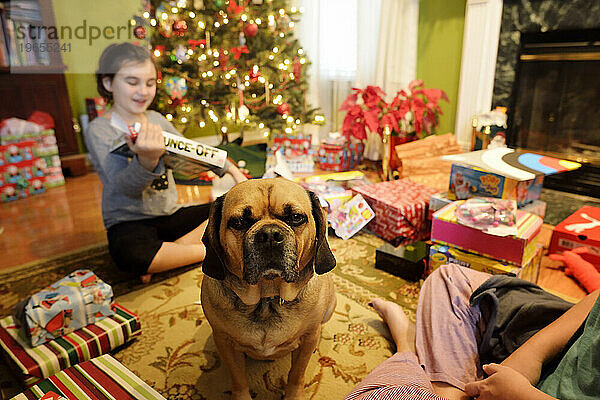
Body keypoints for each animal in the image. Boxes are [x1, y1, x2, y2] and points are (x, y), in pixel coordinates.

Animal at [202, 178, 338, 400]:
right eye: (239, 222)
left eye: (296, 218)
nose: (270, 235)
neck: (267, 298)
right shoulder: (224, 342)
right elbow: (238, 379)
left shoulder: (307, 339)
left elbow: (296, 375)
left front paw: (293, 395)